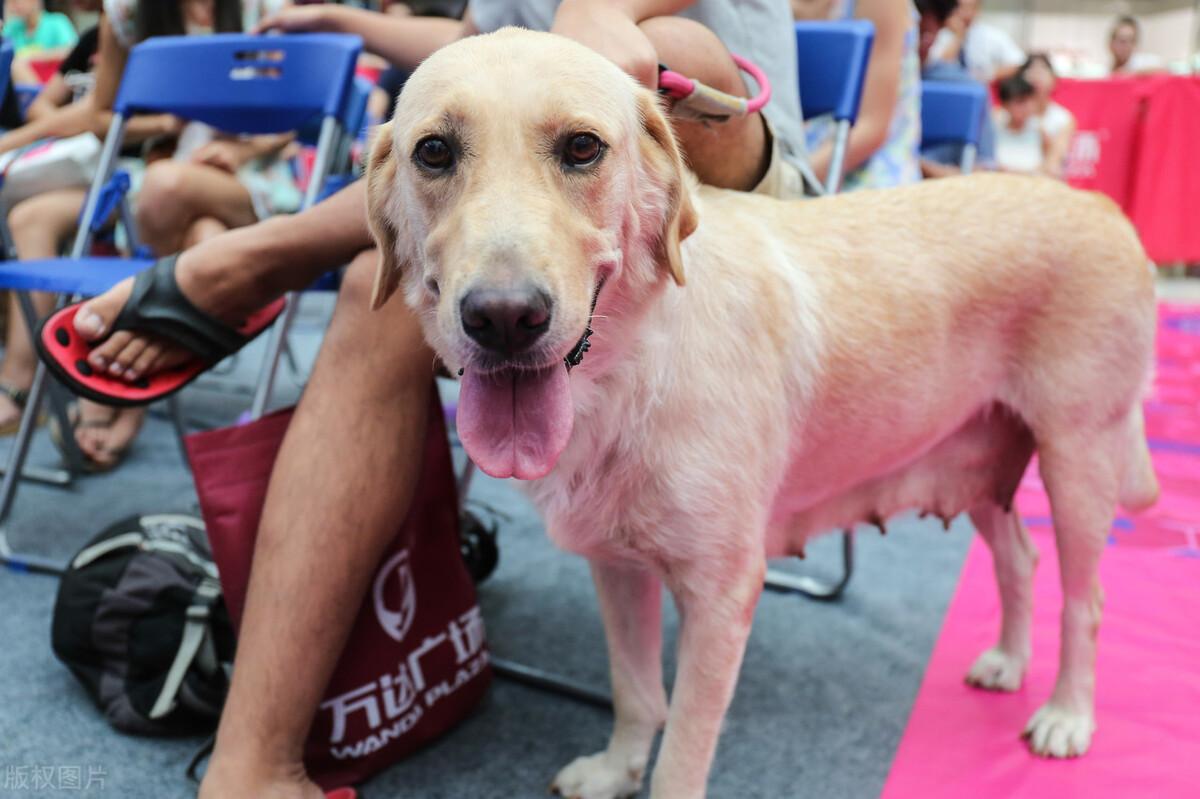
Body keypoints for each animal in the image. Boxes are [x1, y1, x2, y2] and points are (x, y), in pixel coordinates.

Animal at [362, 28, 1152, 791]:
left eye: (582, 148)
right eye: (434, 151)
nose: (504, 318)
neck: (632, 368)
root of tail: (1102, 206)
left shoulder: (722, 596)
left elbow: (680, 756)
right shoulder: (616, 565)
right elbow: (635, 692)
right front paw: (618, 770)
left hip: (1078, 462)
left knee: (1086, 600)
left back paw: (1066, 715)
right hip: (979, 465)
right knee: (1020, 559)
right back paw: (1010, 662)